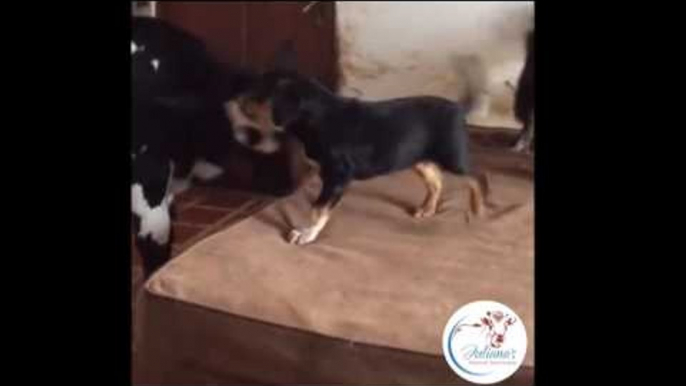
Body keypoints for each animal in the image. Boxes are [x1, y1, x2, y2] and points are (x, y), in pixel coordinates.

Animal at [231, 46, 490, 244]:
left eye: (259, 96)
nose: (236, 101)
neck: (317, 117)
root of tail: (459, 108)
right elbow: (318, 206)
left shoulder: (337, 176)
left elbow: (318, 208)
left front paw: (307, 234)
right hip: (419, 158)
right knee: (436, 181)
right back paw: (427, 209)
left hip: (452, 156)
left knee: (477, 177)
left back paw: (478, 209)